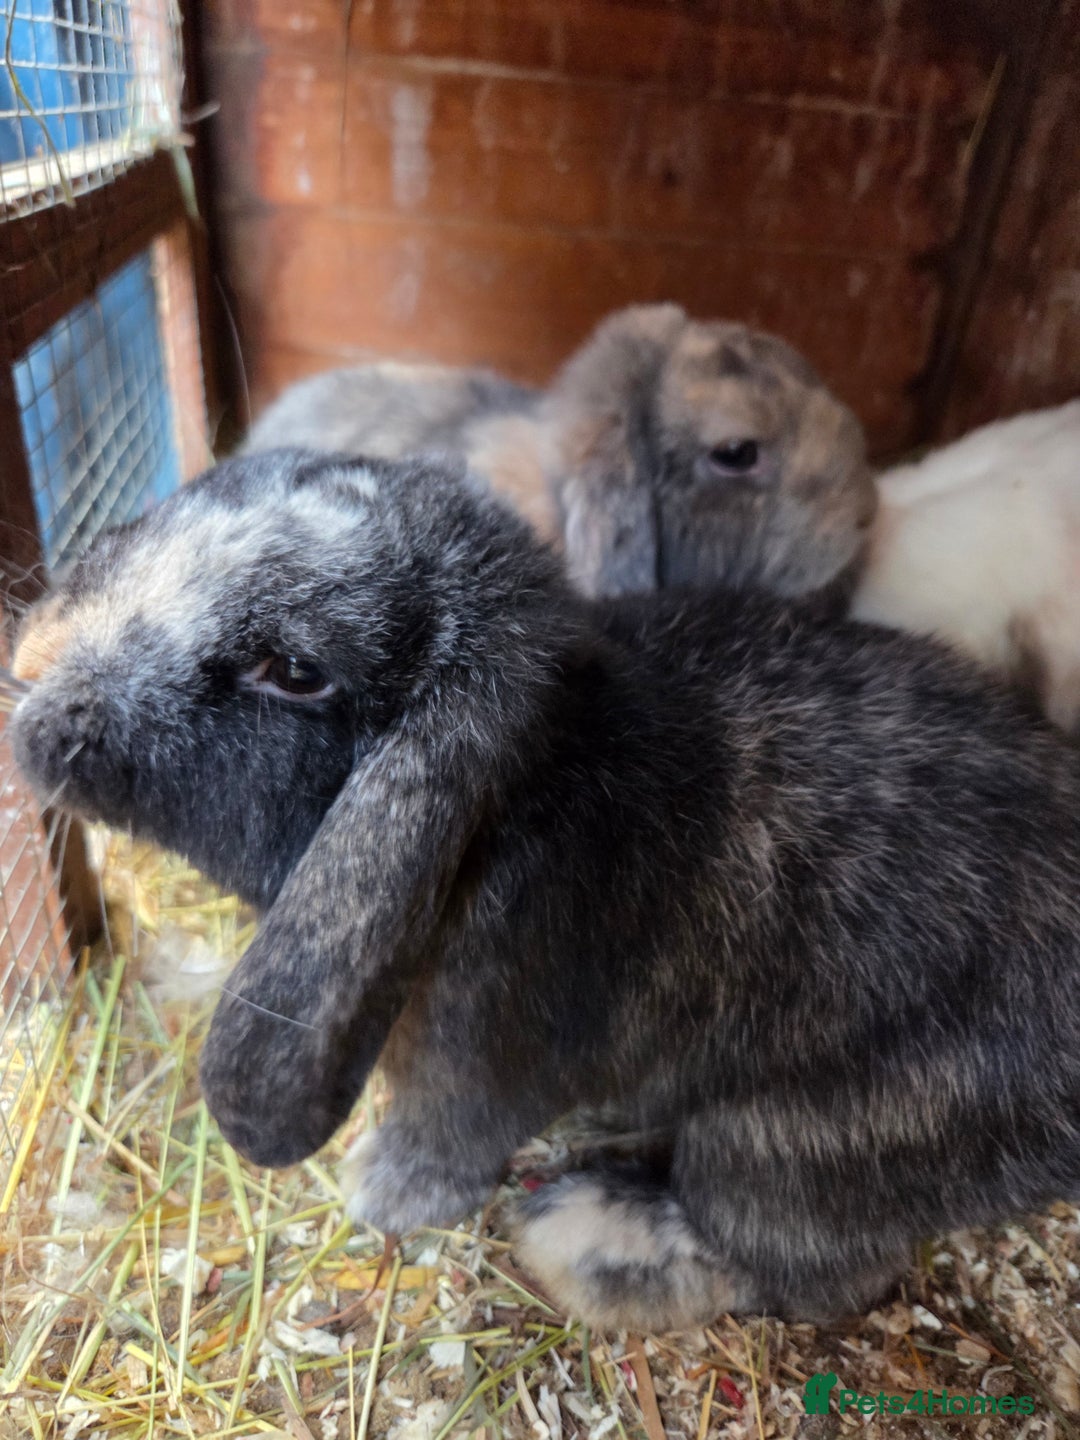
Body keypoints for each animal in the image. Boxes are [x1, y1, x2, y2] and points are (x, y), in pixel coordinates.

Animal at [10, 447, 1080, 1332]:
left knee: (808, 1271)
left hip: (787, 1148)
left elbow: (443, 1141)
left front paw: (377, 1192)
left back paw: (587, 1236)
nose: (31, 676)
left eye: (296, 671)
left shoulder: (474, 1070)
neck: (516, 802)